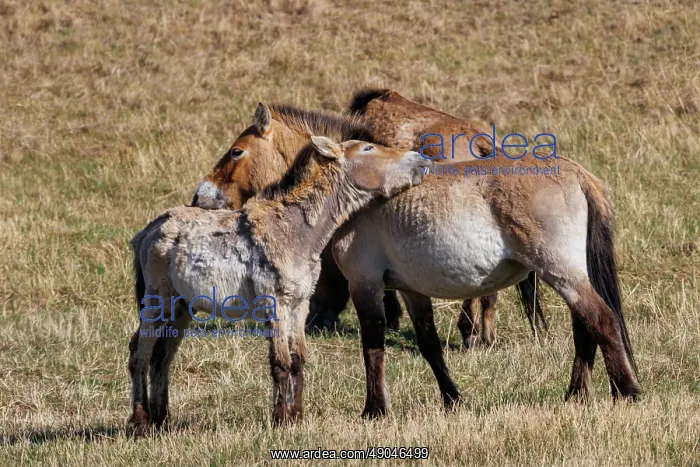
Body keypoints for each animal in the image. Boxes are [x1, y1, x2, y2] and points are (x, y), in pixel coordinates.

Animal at [127, 131, 430, 432]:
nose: (421, 161)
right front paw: (280, 419)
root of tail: (150, 230)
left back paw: (162, 420)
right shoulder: (276, 305)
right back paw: (141, 422)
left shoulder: (300, 304)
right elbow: (280, 361)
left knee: (162, 357)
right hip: (157, 302)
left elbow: (298, 358)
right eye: (368, 149)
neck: (295, 231)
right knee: (139, 354)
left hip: (180, 308)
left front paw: (297, 416)